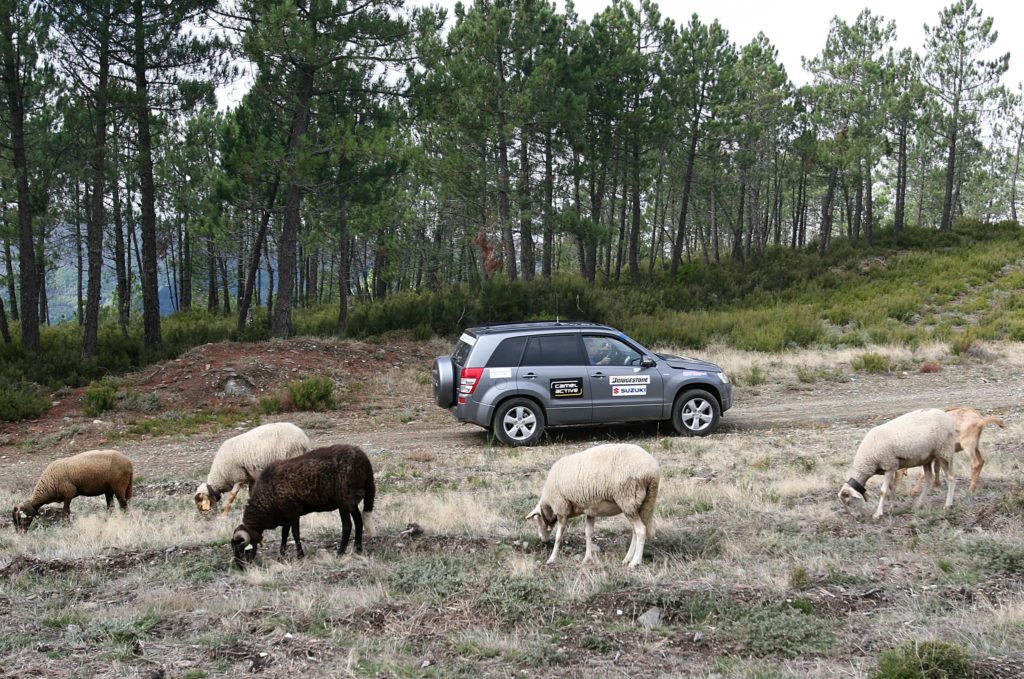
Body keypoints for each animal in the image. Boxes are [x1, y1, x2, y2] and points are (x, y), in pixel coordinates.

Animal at [231, 444, 376, 569]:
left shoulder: (293, 512)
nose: (241, 568)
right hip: (351, 501)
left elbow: (295, 534)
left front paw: (300, 556)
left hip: (344, 500)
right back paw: (358, 549)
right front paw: (281, 556)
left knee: (347, 526)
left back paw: (340, 553)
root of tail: (364, 460)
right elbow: (284, 535)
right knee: (358, 521)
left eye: (242, 549)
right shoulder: (285, 516)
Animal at [524, 440, 659, 569]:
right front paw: (587, 558)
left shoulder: (562, 508)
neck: (549, 503)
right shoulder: (590, 510)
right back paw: (627, 558)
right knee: (636, 531)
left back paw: (635, 562)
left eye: (537, 519)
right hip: (642, 503)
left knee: (640, 530)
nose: (542, 540)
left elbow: (558, 536)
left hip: (627, 499)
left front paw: (552, 558)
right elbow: (588, 533)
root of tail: (652, 471)